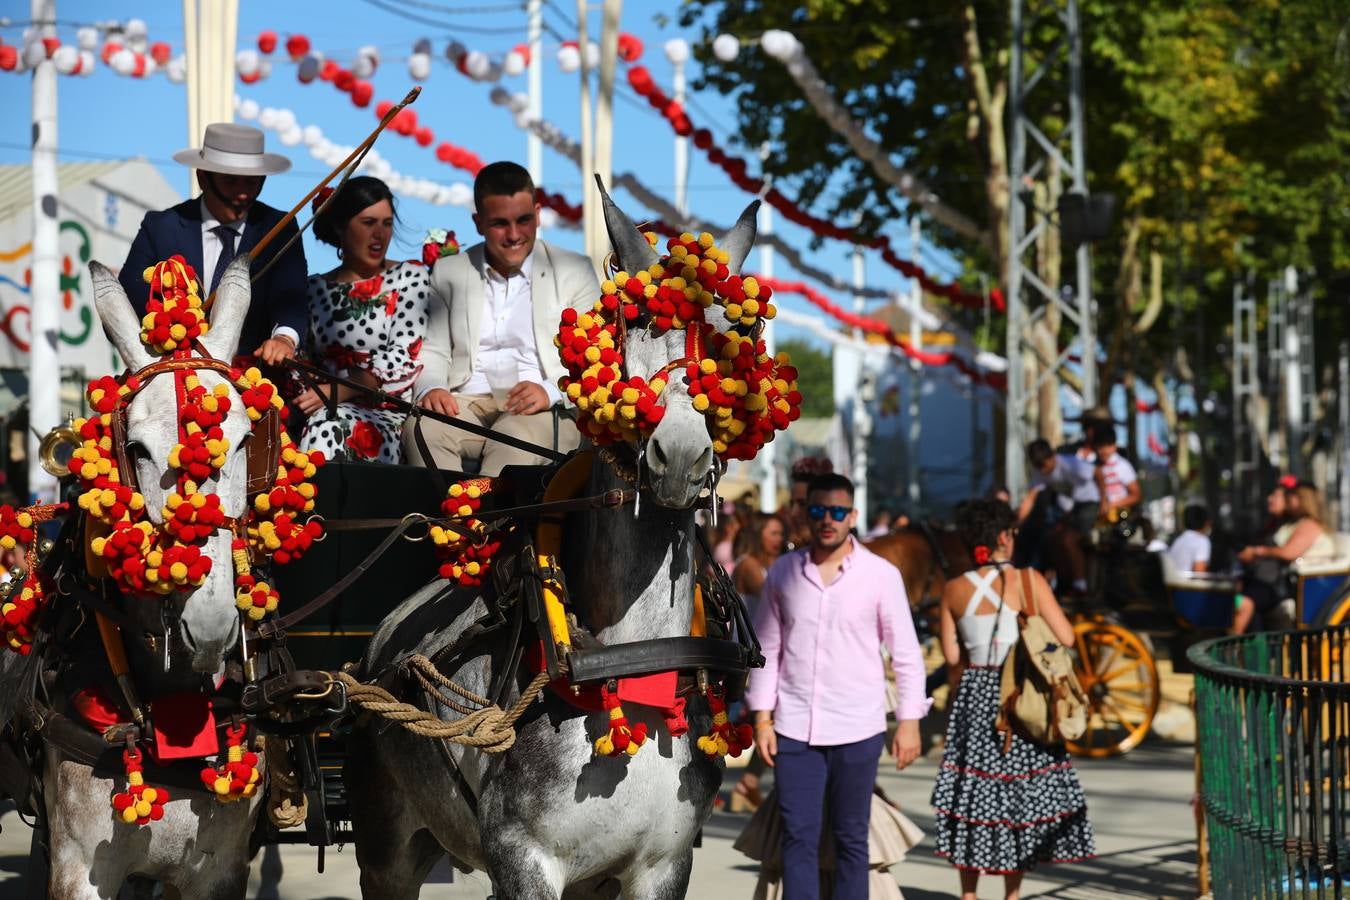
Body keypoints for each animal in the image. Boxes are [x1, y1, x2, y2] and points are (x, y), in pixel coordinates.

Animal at [342, 186, 766, 895]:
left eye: (734, 338)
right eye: (629, 323)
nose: (679, 456)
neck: (632, 664)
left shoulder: (663, 865)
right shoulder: (523, 857)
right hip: (386, 848)